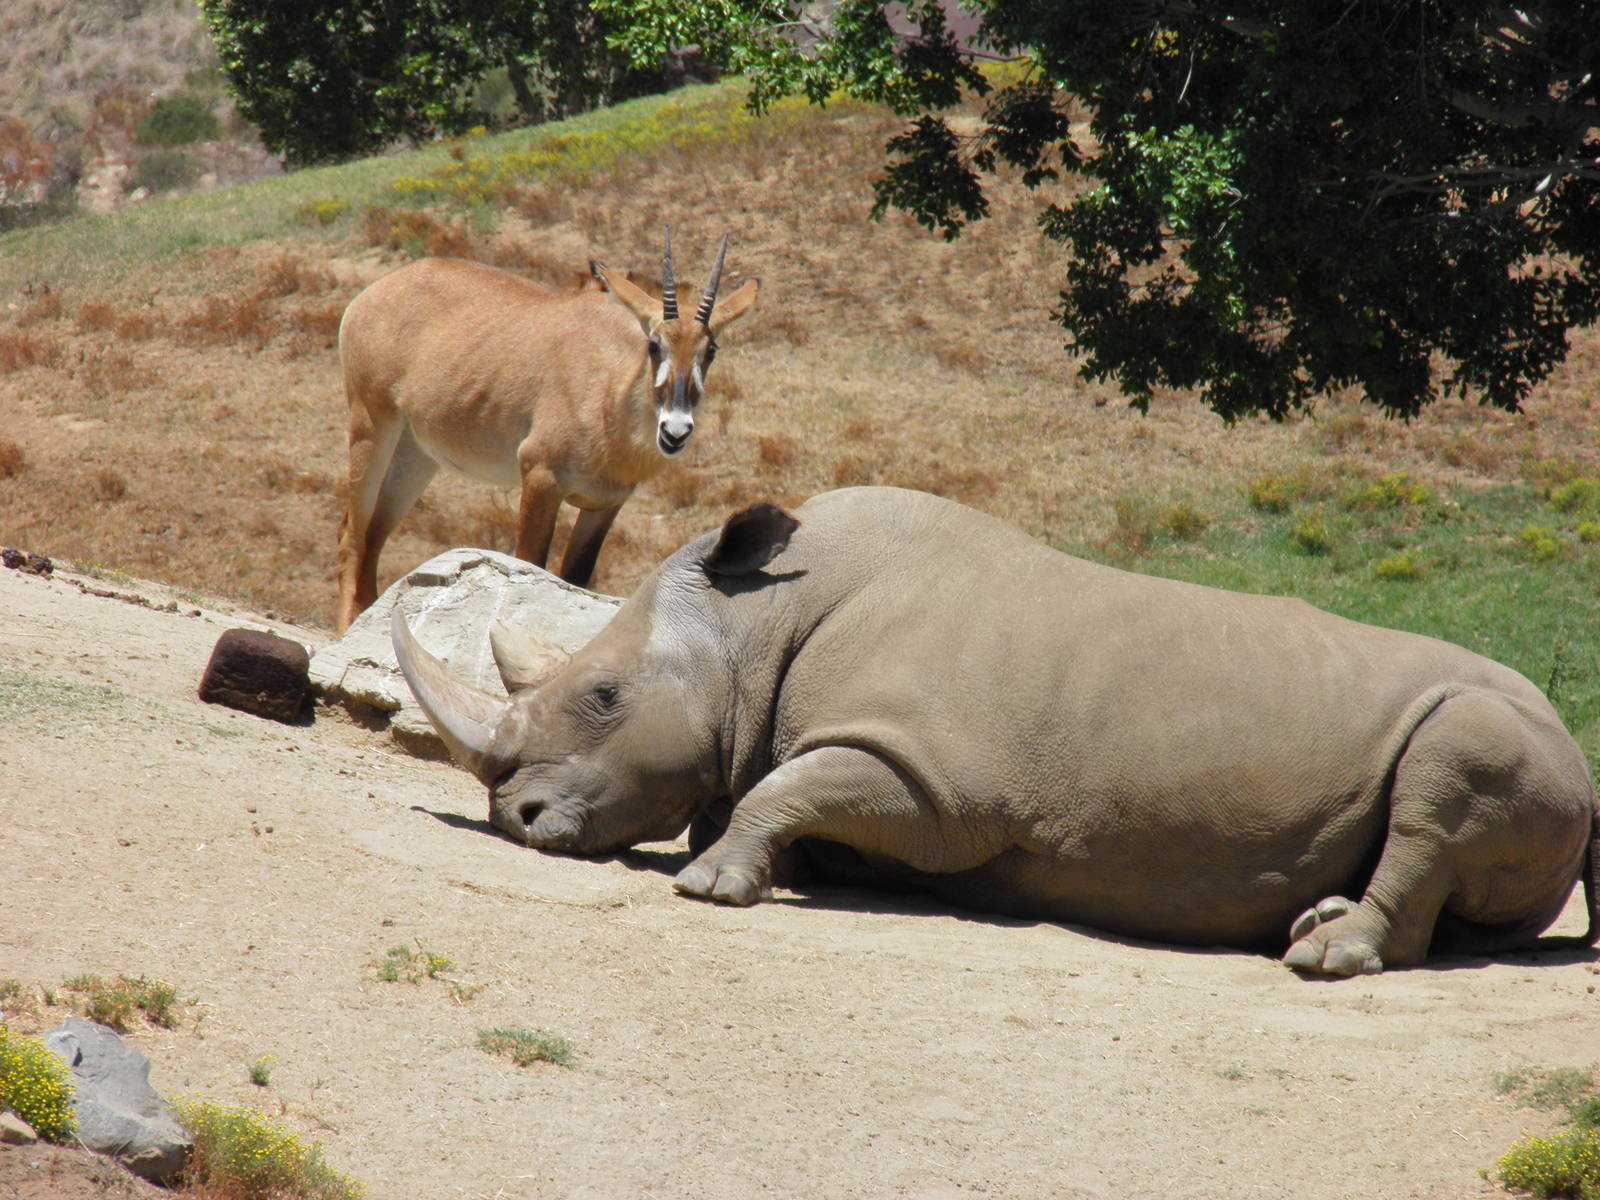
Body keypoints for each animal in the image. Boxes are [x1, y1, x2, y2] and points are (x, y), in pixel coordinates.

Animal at [392, 486, 1599, 975]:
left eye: (601, 697)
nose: (516, 815)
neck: (752, 623)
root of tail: (1586, 772)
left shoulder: (937, 785)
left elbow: (788, 788)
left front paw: (712, 886)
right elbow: (769, 794)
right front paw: (777, 866)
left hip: (1514, 734)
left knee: (1446, 779)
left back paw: (1320, 956)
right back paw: (1314, 922)